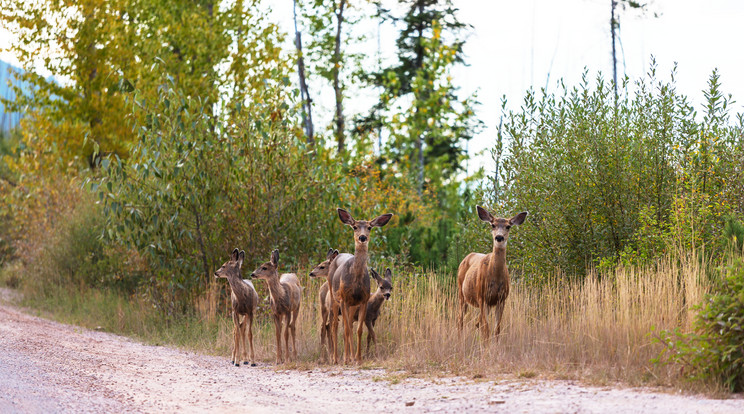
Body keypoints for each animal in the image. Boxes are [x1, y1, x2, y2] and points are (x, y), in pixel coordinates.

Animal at [328, 209, 392, 364]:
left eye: (369, 227)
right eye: (355, 227)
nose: (362, 237)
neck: (355, 280)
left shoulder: (363, 300)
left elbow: (359, 330)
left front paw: (358, 358)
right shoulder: (344, 299)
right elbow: (345, 330)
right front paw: (346, 358)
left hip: (352, 305)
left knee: (350, 325)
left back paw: (351, 356)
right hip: (334, 297)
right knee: (335, 326)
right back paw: (336, 358)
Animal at [456, 207, 528, 340]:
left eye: (508, 226)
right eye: (493, 225)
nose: (499, 237)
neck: (495, 279)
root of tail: (467, 256)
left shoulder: (501, 299)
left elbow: (496, 329)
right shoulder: (482, 298)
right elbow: (487, 330)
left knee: (477, 323)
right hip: (462, 293)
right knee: (460, 320)